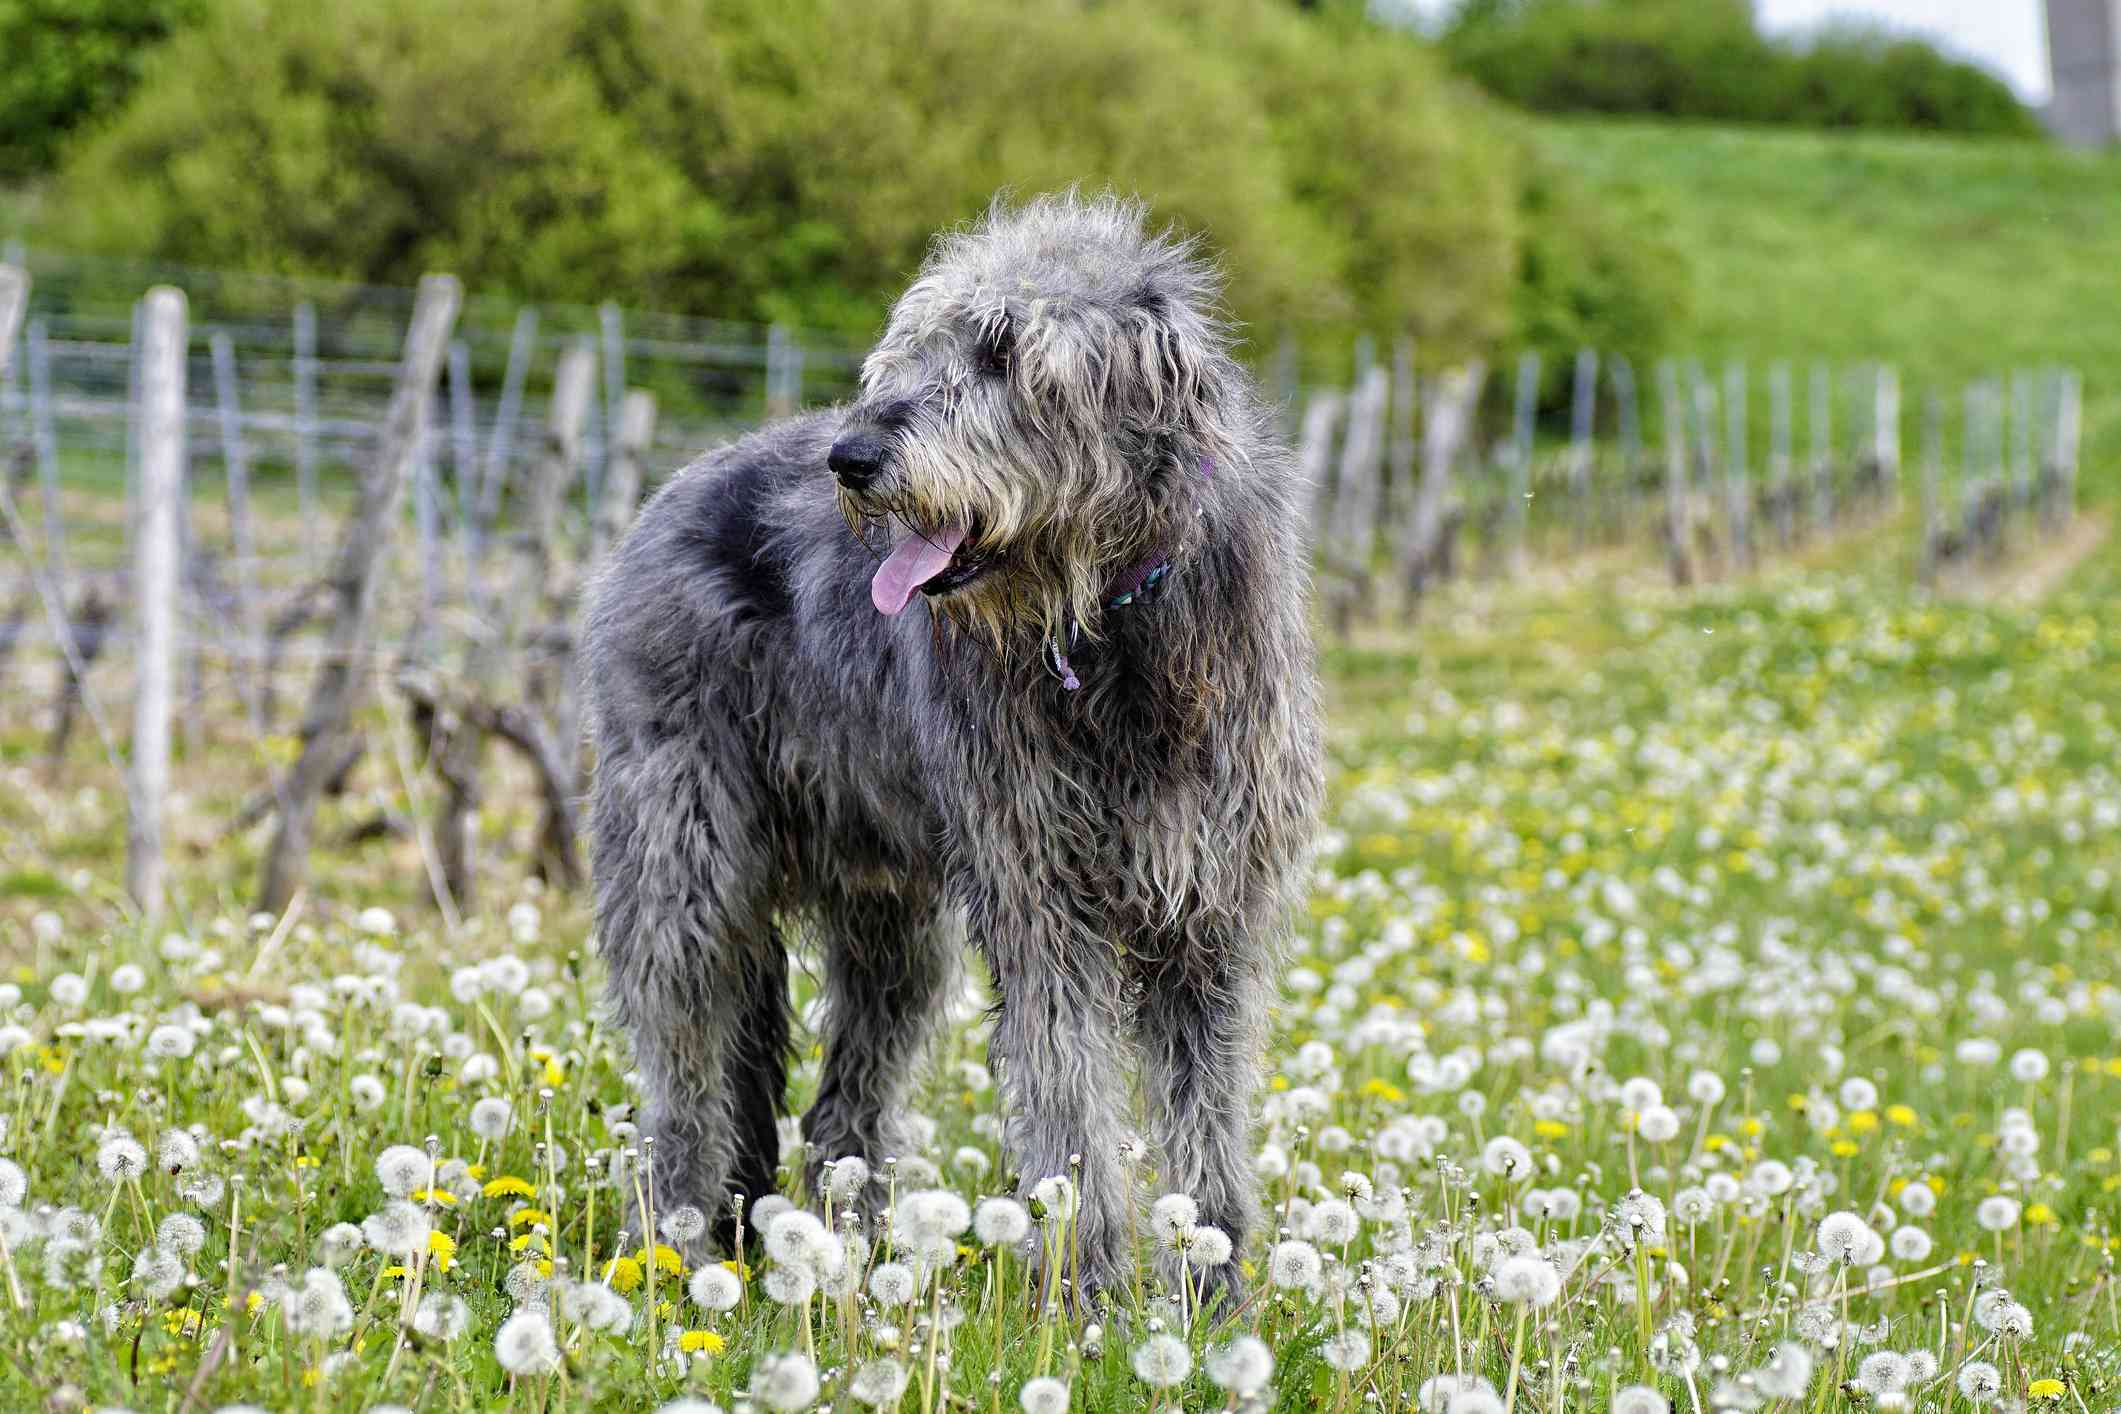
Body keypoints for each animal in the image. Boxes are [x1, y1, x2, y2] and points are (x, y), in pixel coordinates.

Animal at [581, 190, 1306, 1305]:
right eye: (913, 346)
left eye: (1003, 351)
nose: (852, 458)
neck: (1110, 628)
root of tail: (673, 490)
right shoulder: (1041, 894)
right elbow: (1067, 1097)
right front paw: (1087, 1295)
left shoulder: (1209, 903)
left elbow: (1208, 1111)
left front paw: (1217, 1296)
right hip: (682, 860)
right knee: (684, 1069)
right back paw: (679, 1247)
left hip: (889, 920)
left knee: (845, 1100)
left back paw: (853, 1251)